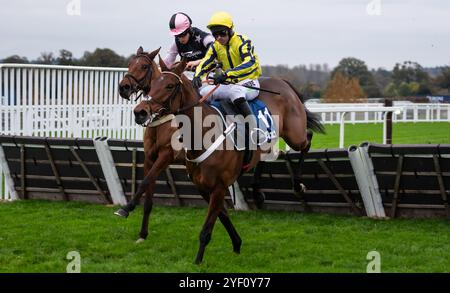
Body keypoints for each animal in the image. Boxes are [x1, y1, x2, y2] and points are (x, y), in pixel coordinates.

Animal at [133, 57, 324, 262]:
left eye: (169, 85)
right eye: (152, 83)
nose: (140, 112)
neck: (203, 133)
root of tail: (283, 82)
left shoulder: (218, 186)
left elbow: (207, 228)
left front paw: (198, 261)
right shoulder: (203, 187)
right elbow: (222, 216)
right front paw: (237, 244)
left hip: (294, 134)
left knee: (307, 140)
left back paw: (297, 185)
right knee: (271, 153)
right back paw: (257, 191)